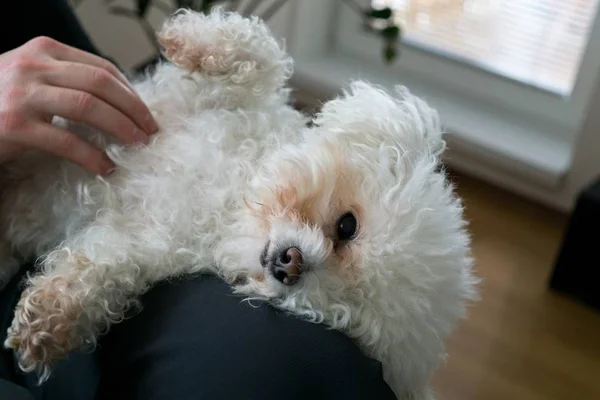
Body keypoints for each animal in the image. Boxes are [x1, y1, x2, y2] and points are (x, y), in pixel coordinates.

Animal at [0, 7, 478, 400]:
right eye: (348, 226)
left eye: (346, 312)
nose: (290, 265)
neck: (231, 195)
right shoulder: (209, 100)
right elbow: (262, 58)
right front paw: (187, 40)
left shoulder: (148, 242)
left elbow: (102, 269)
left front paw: (48, 323)